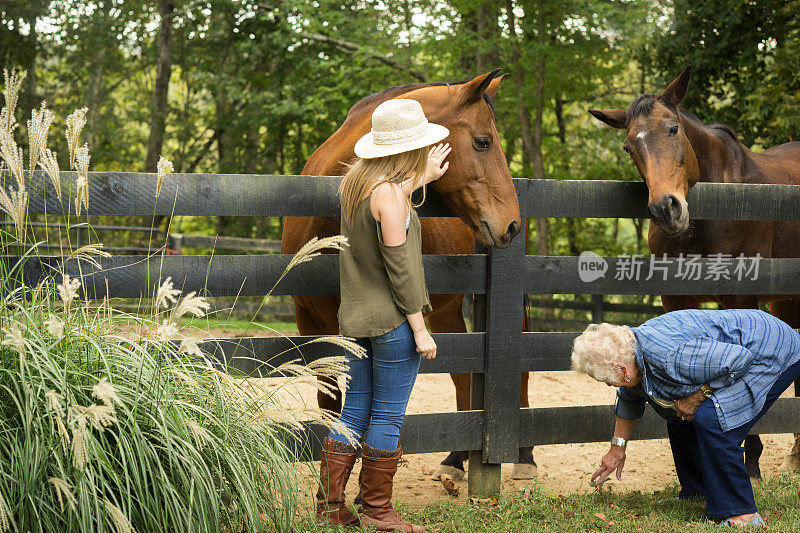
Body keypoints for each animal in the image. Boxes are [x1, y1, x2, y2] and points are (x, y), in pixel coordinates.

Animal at [282, 69, 536, 478]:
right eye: (483, 141)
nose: (511, 224)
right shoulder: (309, 321)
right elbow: (330, 404)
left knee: (520, 373)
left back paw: (524, 457)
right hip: (447, 311)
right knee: (463, 377)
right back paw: (454, 460)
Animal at [592, 66, 800, 478]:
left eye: (673, 129)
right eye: (628, 147)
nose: (666, 209)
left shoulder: (741, 296)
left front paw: (750, 460)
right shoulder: (674, 297)